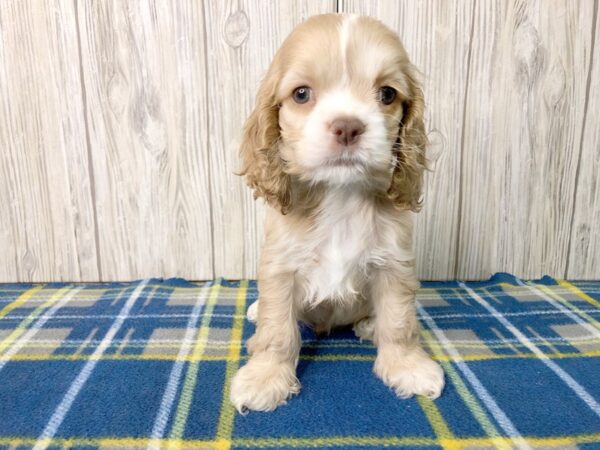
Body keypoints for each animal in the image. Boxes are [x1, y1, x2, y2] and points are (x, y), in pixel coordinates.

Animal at [230, 14, 446, 414]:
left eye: (387, 94)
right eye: (301, 94)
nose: (347, 126)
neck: (340, 194)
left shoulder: (395, 265)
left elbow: (399, 322)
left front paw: (407, 367)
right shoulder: (280, 267)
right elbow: (277, 330)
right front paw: (265, 378)